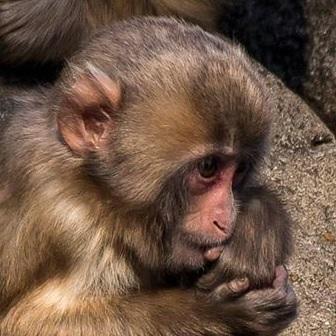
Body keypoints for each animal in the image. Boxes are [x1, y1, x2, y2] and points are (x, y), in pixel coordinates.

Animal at [0, 18, 296, 336]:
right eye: (208, 167)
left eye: (239, 170)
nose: (225, 218)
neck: (94, 192)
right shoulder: (68, 223)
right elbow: (24, 321)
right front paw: (220, 310)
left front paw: (256, 227)